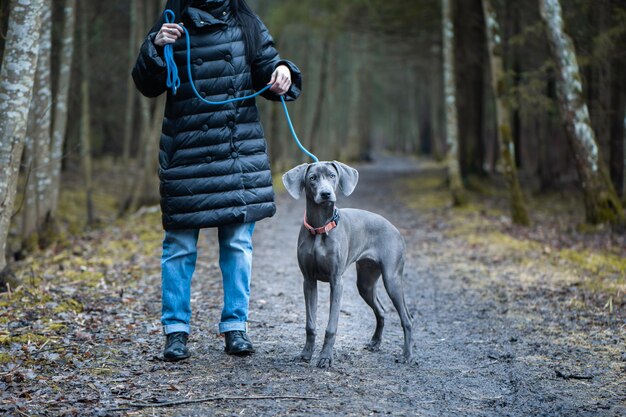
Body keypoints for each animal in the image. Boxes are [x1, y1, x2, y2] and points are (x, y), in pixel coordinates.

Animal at [282, 161, 410, 366]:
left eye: (332, 176)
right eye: (312, 178)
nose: (326, 193)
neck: (320, 227)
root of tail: (396, 229)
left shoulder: (336, 282)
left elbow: (331, 326)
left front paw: (325, 357)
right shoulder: (308, 281)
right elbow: (310, 324)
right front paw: (306, 354)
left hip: (392, 279)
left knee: (406, 318)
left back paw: (407, 355)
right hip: (365, 282)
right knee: (381, 310)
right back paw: (375, 343)